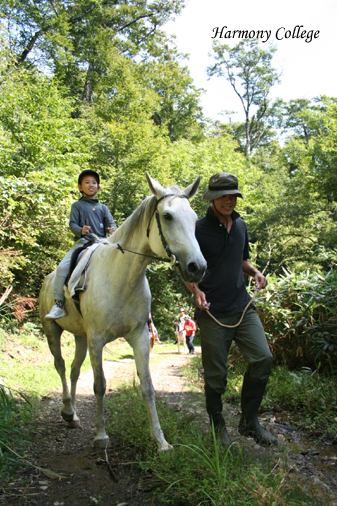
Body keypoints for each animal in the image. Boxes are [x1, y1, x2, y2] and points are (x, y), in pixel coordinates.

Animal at [38, 174, 206, 450]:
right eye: (167, 216)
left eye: (193, 218)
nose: (198, 267)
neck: (122, 277)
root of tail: (47, 280)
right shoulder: (97, 340)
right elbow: (99, 385)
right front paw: (101, 435)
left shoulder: (138, 336)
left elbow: (147, 386)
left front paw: (161, 441)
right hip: (53, 330)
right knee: (60, 366)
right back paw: (67, 410)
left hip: (80, 337)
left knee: (73, 369)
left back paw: (73, 415)